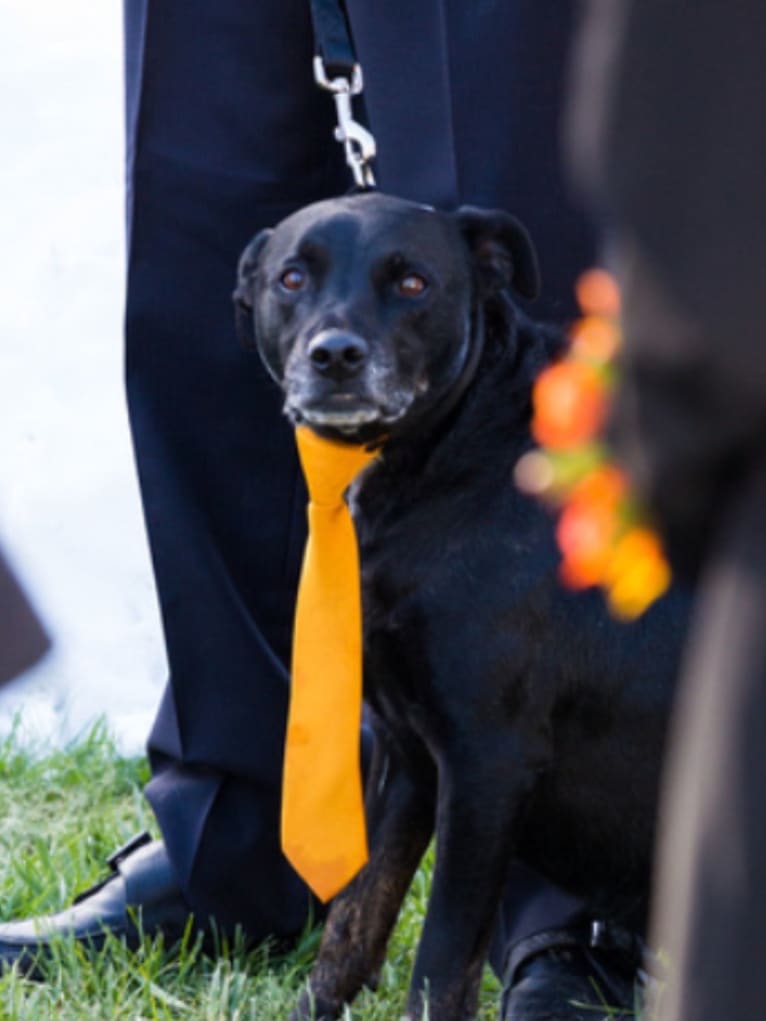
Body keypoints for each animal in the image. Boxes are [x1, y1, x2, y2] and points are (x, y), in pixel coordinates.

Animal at [233, 192, 690, 1021]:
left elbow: (441, 961)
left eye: (412, 282)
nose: (335, 355)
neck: (455, 450)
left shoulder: (485, 762)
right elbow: (353, 920)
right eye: (291, 277)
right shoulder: (406, 754)